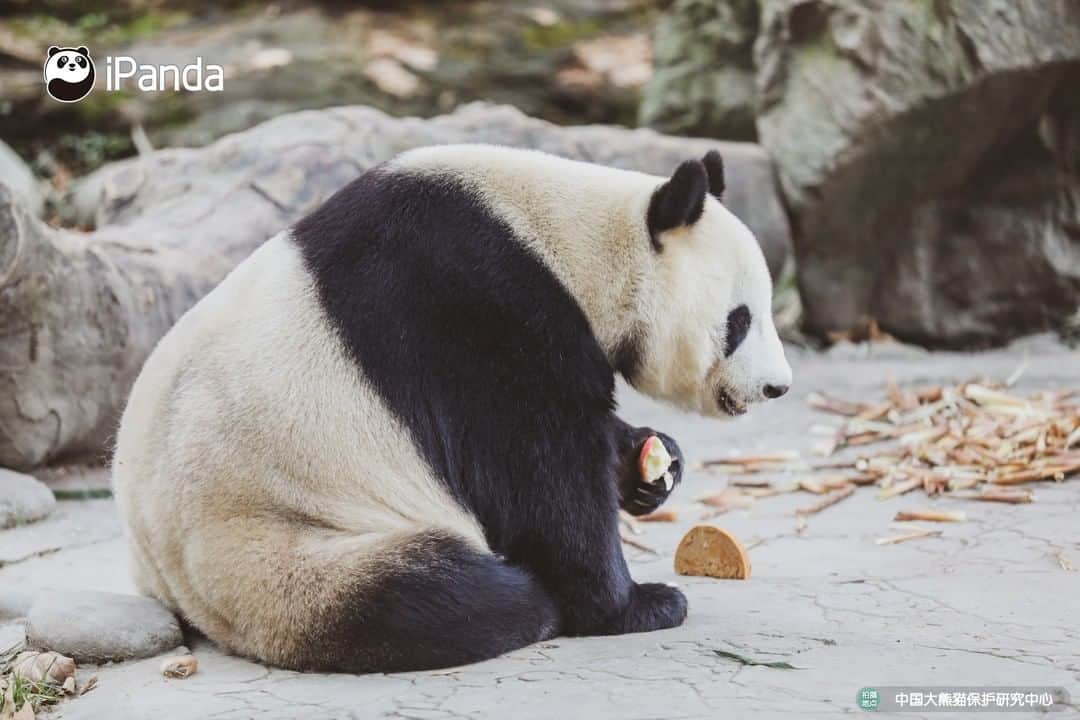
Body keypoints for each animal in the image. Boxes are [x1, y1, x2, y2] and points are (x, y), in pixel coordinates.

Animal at [111, 146, 794, 677]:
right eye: (740, 320)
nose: (777, 388)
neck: (570, 240)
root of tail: (176, 593)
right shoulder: (477, 309)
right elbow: (538, 469)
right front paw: (637, 604)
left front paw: (652, 467)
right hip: (284, 548)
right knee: (432, 596)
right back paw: (528, 601)